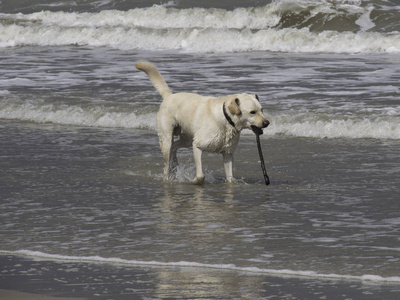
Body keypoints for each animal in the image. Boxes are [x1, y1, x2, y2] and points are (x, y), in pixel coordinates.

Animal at [135, 62, 268, 184]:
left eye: (262, 110)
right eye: (252, 112)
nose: (267, 122)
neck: (226, 120)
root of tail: (169, 96)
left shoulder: (228, 153)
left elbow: (230, 177)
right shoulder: (197, 146)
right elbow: (200, 175)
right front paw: (193, 180)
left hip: (187, 138)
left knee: (175, 147)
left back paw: (175, 164)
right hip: (167, 138)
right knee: (167, 161)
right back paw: (168, 176)